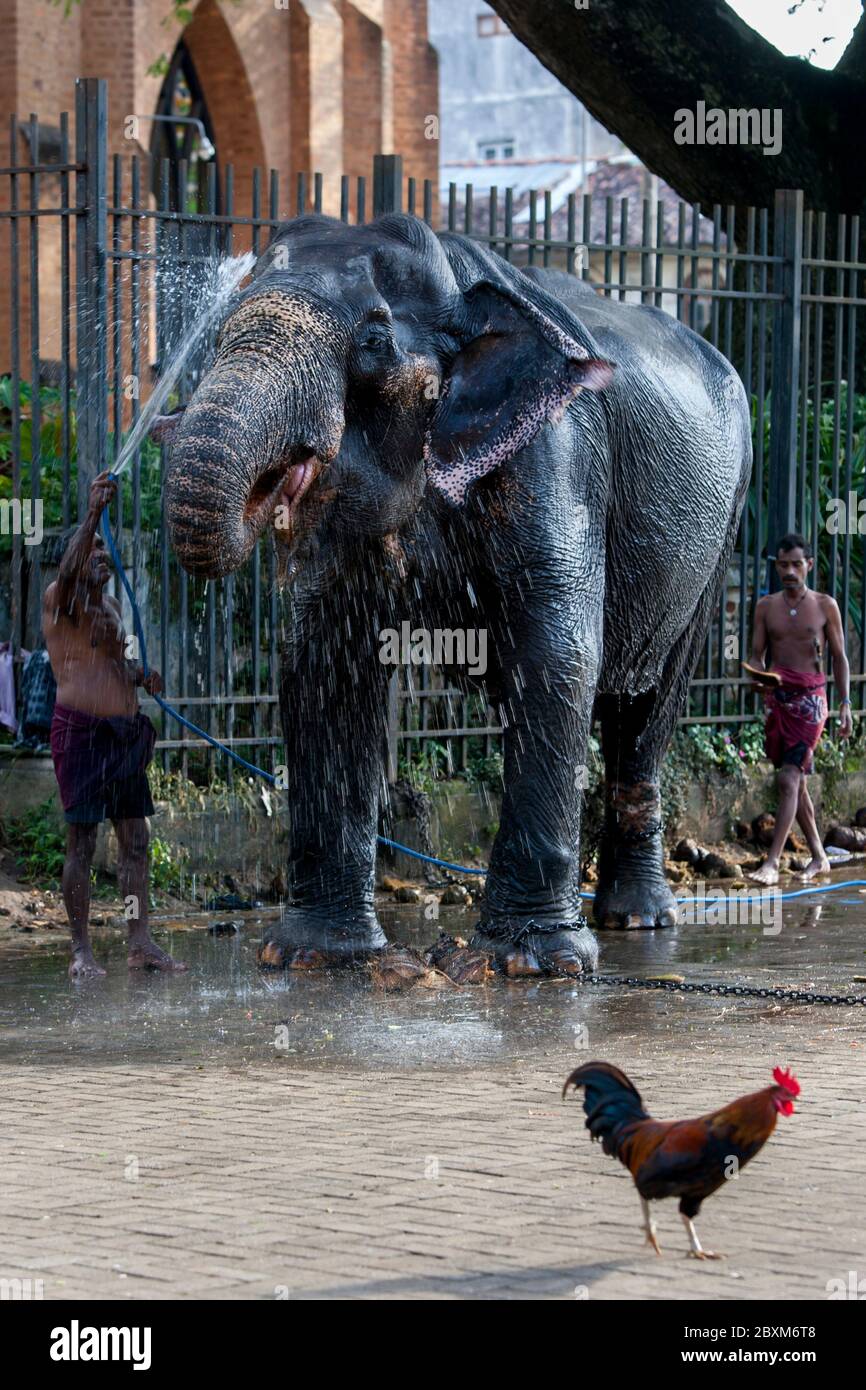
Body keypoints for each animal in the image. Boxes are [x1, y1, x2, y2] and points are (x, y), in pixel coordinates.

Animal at [157, 214, 750, 978]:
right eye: (218, 330)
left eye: (373, 343)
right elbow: (325, 669)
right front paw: (309, 956)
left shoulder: (556, 450)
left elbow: (556, 655)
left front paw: (533, 963)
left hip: (722, 530)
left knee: (648, 704)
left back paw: (637, 922)